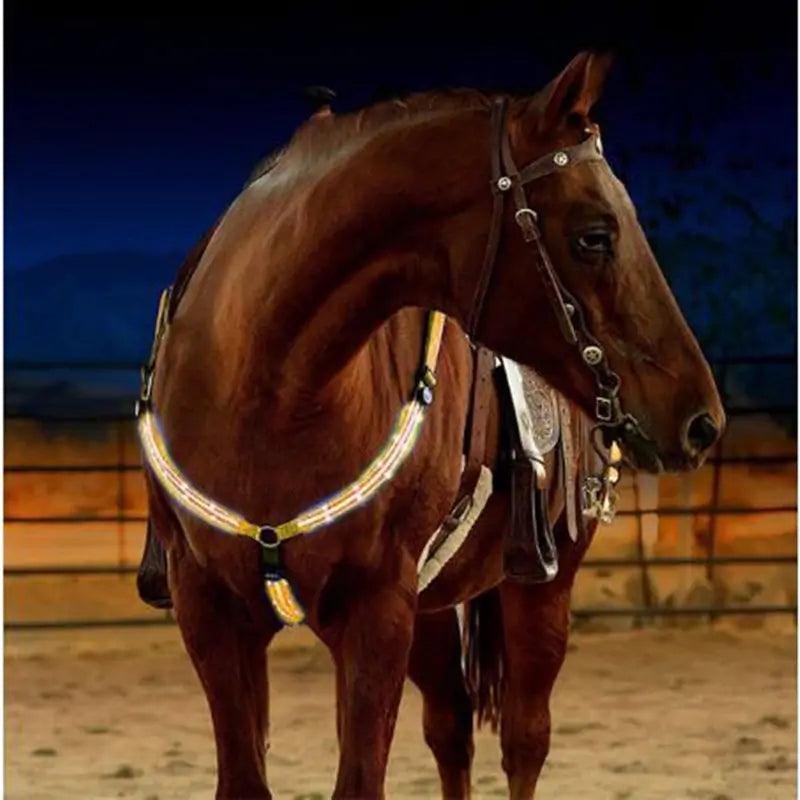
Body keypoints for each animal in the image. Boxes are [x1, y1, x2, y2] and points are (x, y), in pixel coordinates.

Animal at [142, 51, 724, 798]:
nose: (702, 420)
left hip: (541, 586)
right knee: (451, 728)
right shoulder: (211, 612)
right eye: (595, 235)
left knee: (524, 740)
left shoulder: (377, 612)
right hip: (432, 612)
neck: (266, 392)